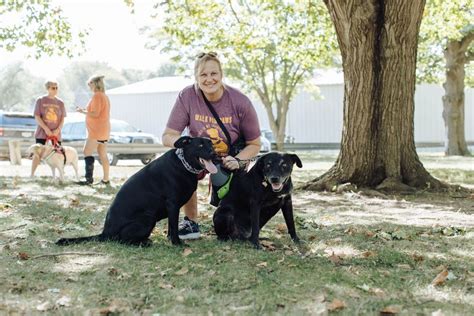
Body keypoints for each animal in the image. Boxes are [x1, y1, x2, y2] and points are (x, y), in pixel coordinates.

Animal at [56, 136, 218, 247]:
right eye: (200, 144)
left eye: (211, 143)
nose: (214, 154)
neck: (183, 165)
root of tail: (105, 233)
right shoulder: (172, 204)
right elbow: (173, 226)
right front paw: (176, 243)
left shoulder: (173, 207)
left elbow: (171, 227)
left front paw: (170, 239)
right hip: (148, 217)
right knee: (122, 241)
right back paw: (145, 243)